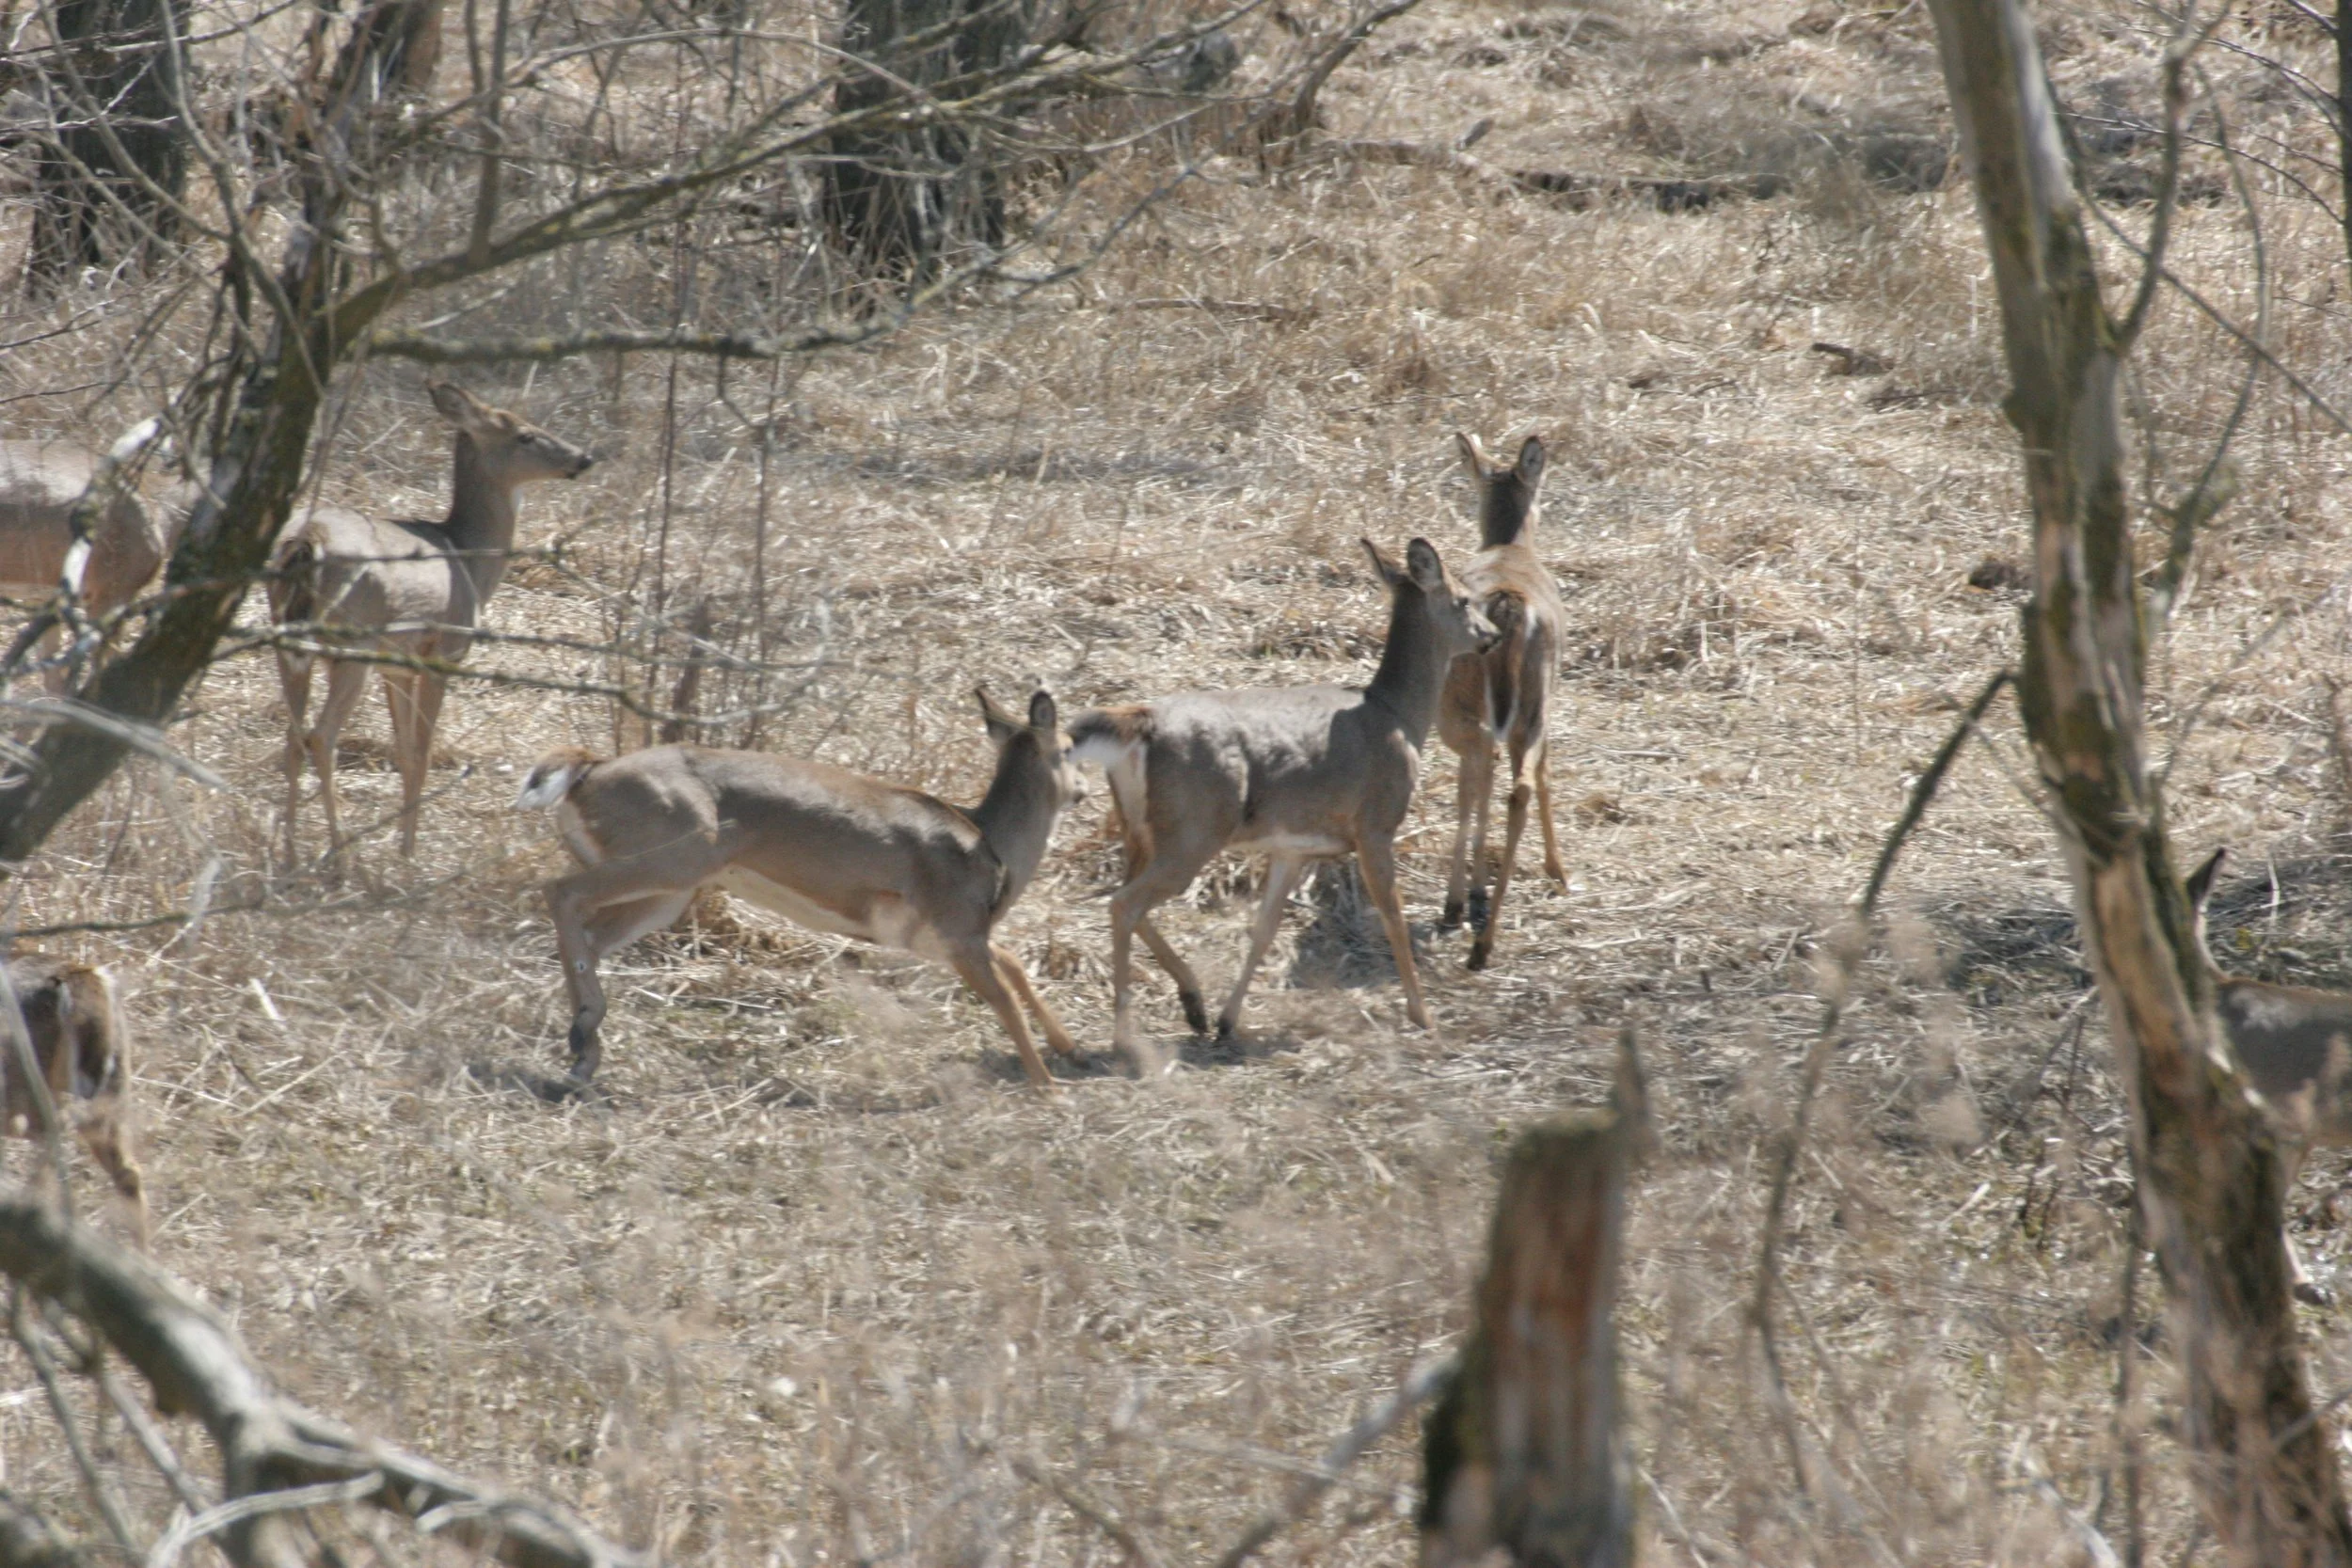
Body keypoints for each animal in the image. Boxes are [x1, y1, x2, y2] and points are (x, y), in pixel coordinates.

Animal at [271, 381, 593, 864]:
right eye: (525, 435)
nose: (583, 458)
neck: (469, 558)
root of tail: (310, 540)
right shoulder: (443, 652)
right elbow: (422, 753)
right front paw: (409, 854)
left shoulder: (398, 668)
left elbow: (404, 751)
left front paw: (401, 846)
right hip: (352, 647)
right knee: (321, 737)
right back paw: (345, 860)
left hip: (286, 641)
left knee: (293, 738)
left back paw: (289, 856)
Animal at [516, 688, 1087, 1092]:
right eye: (1069, 747)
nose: (1082, 789)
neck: (990, 846)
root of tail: (587, 775)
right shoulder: (958, 930)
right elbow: (1004, 996)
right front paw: (1049, 1087)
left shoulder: (945, 937)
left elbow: (1013, 964)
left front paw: (1071, 1047)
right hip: (676, 856)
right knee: (559, 890)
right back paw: (582, 1035)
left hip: (668, 890)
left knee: (589, 931)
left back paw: (584, 1053)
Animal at [1070, 536, 1500, 1061]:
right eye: (1463, 600)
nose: (1493, 634)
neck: (1398, 714)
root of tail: (1141, 722)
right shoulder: (1376, 824)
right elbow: (1394, 916)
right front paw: (1424, 1016)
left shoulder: (1294, 848)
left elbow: (1264, 929)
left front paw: (1229, 1021)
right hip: (1193, 830)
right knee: (1124, 905)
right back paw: (1125, 1036)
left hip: (1138, 831)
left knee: (1128, 901)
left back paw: (1194, 1007)